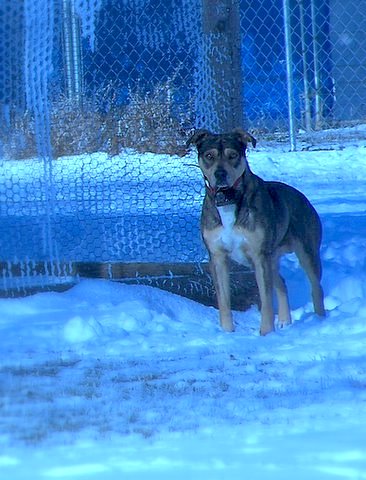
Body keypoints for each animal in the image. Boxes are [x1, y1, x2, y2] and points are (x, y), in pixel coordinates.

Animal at [187, 129, 324, 336]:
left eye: (233, 155)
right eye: (209, 156)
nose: (220, 174)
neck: (228, 200)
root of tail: (304, 199)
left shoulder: (259, 256)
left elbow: (266, 300)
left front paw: (266, 334)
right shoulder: (218, 257)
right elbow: (224, 301)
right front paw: (227, 333)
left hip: (306, 251)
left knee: (316, 287)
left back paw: (320, 320)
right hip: (270, 257)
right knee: (281, 282)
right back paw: (284, 321)